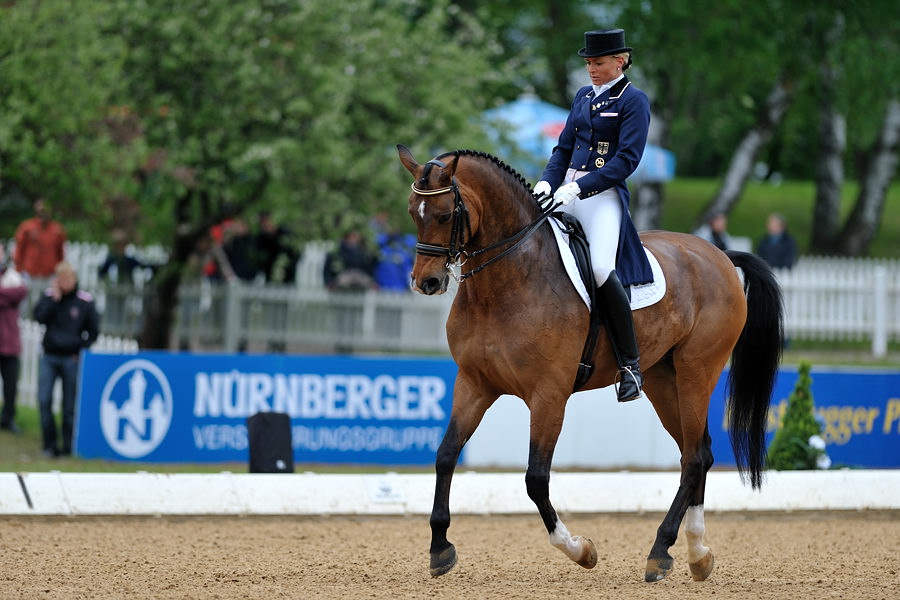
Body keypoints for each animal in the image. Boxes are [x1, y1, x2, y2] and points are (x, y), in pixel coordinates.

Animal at [397, 145, 783, 583]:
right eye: (413, 212)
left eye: (446, 215)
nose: (426, 283)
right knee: (697, 452)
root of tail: (718, 254)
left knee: (695, 458)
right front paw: (440, 548)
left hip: (697, 371)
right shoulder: (474, 383)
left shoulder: (549, 395)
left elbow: (535, 478)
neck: (506, 283)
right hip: (664, 380)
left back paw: (661, 550)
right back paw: (696, 553)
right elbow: (446, 455)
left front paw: (579, 549)